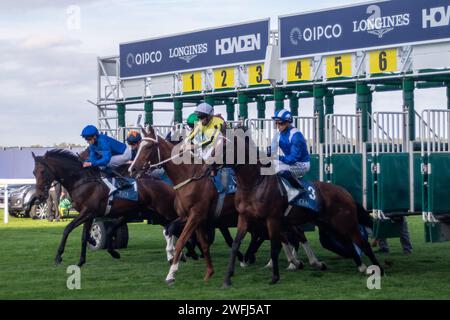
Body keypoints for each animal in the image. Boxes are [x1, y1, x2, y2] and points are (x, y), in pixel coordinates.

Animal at [222, 129, 384, 284]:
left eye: (224, 147)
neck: (255, 183)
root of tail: (346, 193)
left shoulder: (272, 220)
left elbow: (275, 246)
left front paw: (276, 275)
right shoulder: (247, 218)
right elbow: (237, 243)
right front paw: (230, 275)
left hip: (346, 223)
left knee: (363, 243)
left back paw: (378, 269)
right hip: (330, 225)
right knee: (348, 243)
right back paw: (361, 266)